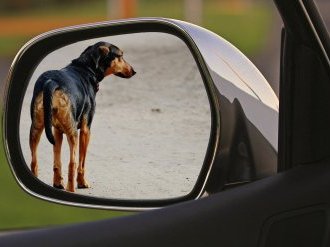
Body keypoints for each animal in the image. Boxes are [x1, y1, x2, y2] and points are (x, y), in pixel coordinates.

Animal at [29, 41, 135, 192]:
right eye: (120, 56)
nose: (134, 71)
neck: (86, 68)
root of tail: (51, 82)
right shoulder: (86, 130)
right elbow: (82, 162)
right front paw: (82, 182)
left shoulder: (57, 131)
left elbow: (57, 161)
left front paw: (58, 183)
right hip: (73, 133)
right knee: (72, 163)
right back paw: (71, 189)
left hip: (36, 129)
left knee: (34, 162)